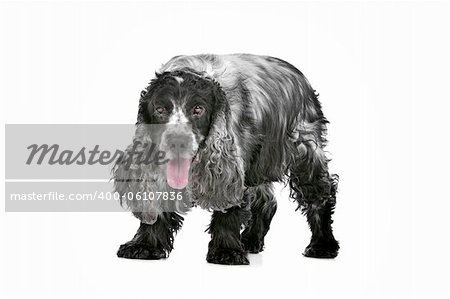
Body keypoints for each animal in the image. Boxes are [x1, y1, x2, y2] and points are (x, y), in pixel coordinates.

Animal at [114, 53, 340, 264]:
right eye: (159, 109)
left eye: (198, 109)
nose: (177, 141)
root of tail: (300, 76)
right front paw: (145, 245)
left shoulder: (232, 165)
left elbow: (229, 209)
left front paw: (226, 251)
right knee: (266, 200)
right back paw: (251, 240)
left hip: (305, 151)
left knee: (321, 196)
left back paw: (322, 245)